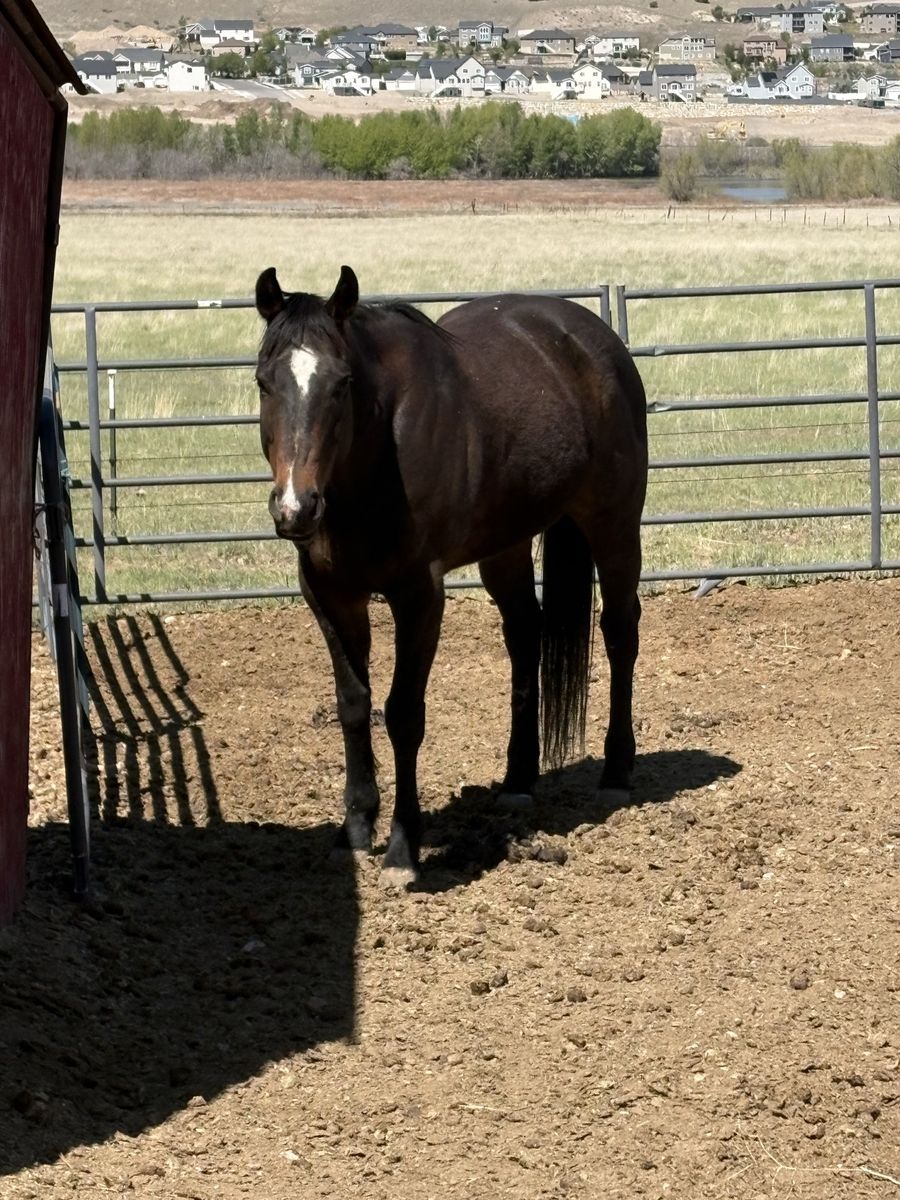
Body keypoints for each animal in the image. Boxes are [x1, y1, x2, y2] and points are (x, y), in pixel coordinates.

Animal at [254, 265, 648, 885]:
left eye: (342, 384)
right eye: (264, 383)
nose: (296, 508)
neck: (373, 461)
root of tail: (594, 340)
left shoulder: (419, 595)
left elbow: (403, 713)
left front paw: (402, 849)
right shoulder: (331, 594)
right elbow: (353, 705)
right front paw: (354, 831)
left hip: (613, 525)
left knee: (619, 632)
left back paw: (615, 771)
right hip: (506, 547)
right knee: (526, 635)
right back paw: (517, 783)